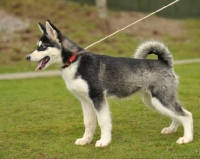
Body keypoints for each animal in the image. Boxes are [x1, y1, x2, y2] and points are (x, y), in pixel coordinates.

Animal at [25, 20, 193, 147]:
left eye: (42, 47)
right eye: (37, 46)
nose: (27, 57)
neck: (74, 62)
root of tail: (164, 62)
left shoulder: (98, 98)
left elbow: (103, 122)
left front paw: (104, 142)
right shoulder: (85, 101)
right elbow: (88, 123)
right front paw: (85, 140)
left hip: (161, 100)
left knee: (186, 115)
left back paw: (186, 138)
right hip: (153, 101)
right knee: (178, 114)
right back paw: (171, 129)